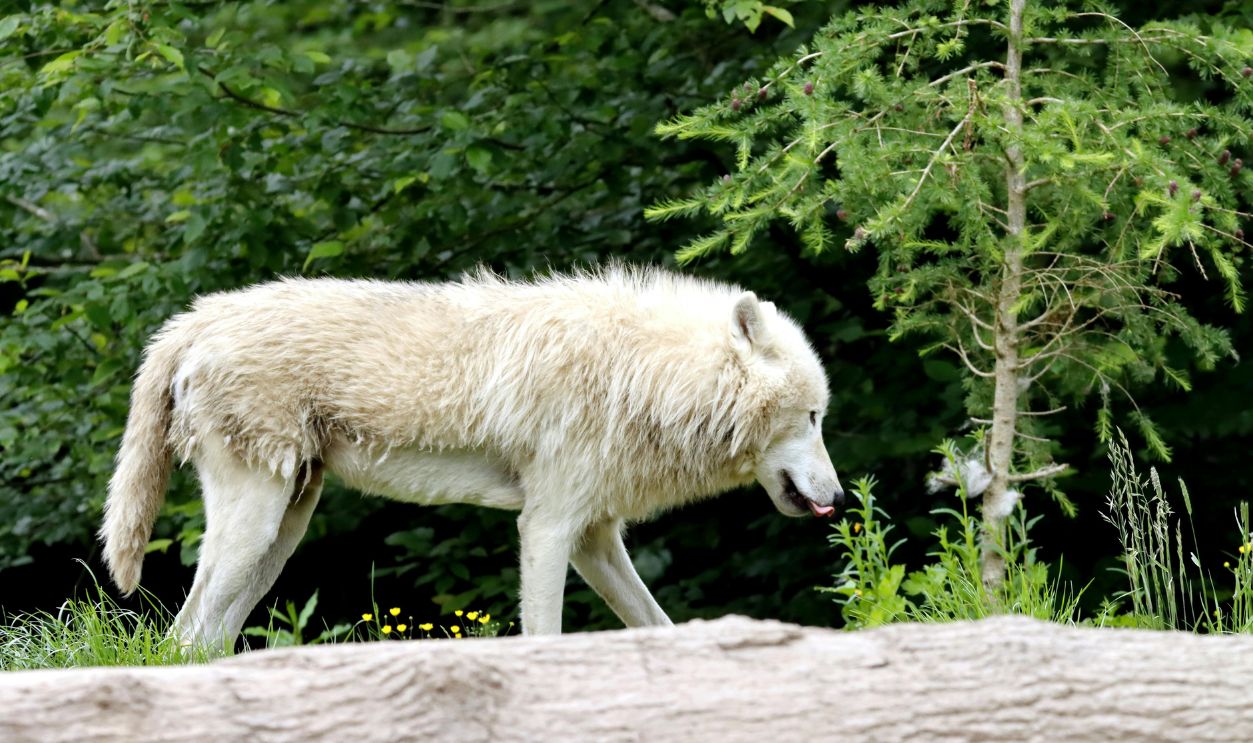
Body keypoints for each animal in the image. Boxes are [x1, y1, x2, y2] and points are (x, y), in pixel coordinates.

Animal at [101, 267, 843, 642]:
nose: (839, 498)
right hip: (255, 527)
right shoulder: (546, 527)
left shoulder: (594, 537)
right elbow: (542, 634)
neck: (647, 372)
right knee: (180, 635)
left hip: (282, 534)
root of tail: (196, 317)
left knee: (204, 638)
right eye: (812, 417)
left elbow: (657, 625)